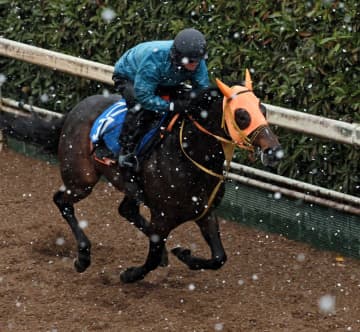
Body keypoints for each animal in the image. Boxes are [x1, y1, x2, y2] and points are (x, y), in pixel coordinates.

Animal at [3, 70, 284, 282]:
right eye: (241, 114)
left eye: (263, 109)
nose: (274, 151)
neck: (189, 154)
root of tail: (72, 112)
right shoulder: (162, 217)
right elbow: (152, 256)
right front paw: (130, 274)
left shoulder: (204, 213)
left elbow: (219, 257)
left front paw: (182, 254)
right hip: (81, 180)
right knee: (62, 201)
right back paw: (83, 257)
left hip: (127, 187)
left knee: (126, 210)